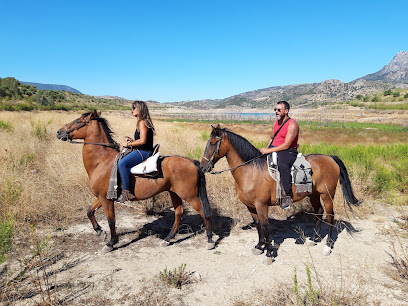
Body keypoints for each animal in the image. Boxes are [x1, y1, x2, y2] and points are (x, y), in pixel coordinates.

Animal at [58, 110, 217, 253]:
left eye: (78, 121)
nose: (59, 132)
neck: (102, 162)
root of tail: (191, 162)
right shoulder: (103, 196)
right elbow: (89, 211)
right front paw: (99, 231)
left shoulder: (106, 199)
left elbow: (111, 220)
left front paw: (111, 243)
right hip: (175, 193)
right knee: (179, 213)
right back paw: (167, 239)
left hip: (190, 195)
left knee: (204, 213)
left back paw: (209, 241)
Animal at [201, 124, 360, 262]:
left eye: (213, 143)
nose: (202, 167)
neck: (251, 170)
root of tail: (330, 158)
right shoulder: (250, 206)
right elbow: (258, 225)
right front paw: (259, 246)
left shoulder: (261, 205)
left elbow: (265, 227)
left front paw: (269, 254)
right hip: (314, 194)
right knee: (319, 211)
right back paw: (314, 239)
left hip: (327, 194)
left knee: (330, 215)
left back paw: (327, 246)